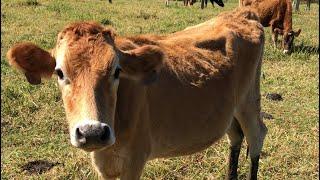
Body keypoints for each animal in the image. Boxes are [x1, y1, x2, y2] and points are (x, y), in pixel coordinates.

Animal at [6, 7, 268, 180]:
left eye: (117, 71)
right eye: (60, 72)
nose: (92, 132)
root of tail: (243, 14)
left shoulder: (134, 160)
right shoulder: (105, 165)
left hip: (249, 99)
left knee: (257, 135)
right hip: (231, 108)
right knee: (235, 136)